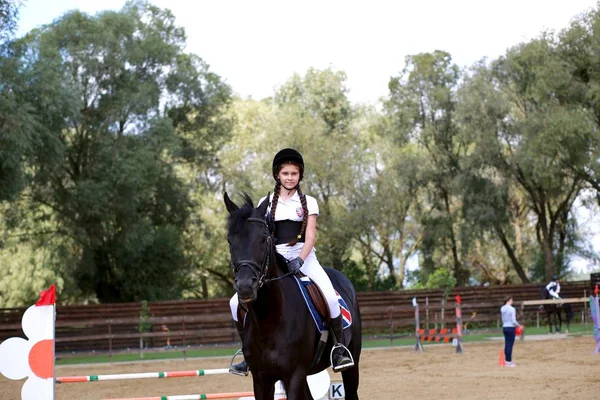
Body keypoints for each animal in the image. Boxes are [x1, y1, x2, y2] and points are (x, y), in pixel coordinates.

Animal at [225, 192, 360, 398]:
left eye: (263, 239)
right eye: (230, 241)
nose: (246, 286)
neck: (269, 319)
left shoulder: (294, 375)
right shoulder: (261, 379)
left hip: (352, 364)